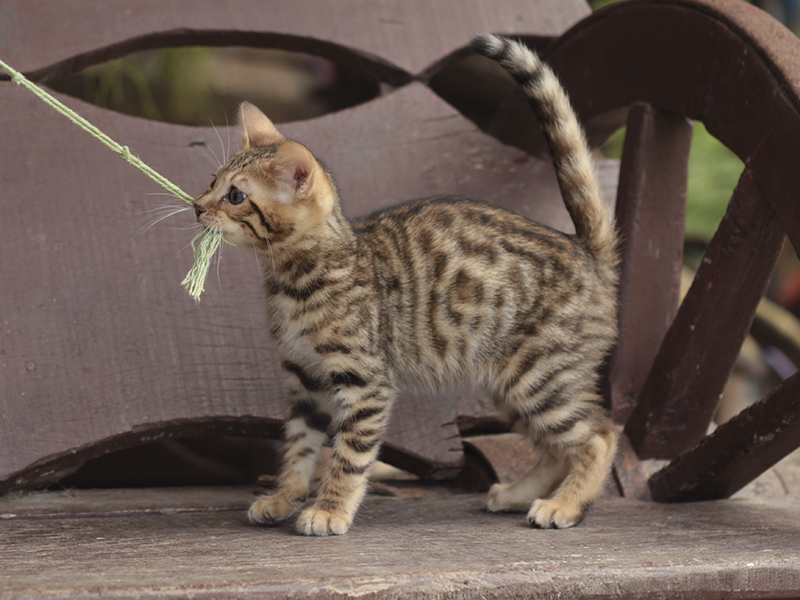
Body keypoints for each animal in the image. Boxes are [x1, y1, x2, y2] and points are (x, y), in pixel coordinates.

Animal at [192, 34, 619, 536]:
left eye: (236, 195)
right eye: (211, 181)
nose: (197, 205)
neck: (297, 279)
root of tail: (587, 250)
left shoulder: (365, 382)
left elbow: (349, 455)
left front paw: (330, 509)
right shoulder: (304, 381)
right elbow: (299, 447)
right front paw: (284, 496)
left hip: (540, 376)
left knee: (598, 436)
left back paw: (565, 505)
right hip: (510, 384)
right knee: (556, 448)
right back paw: (519, 494)